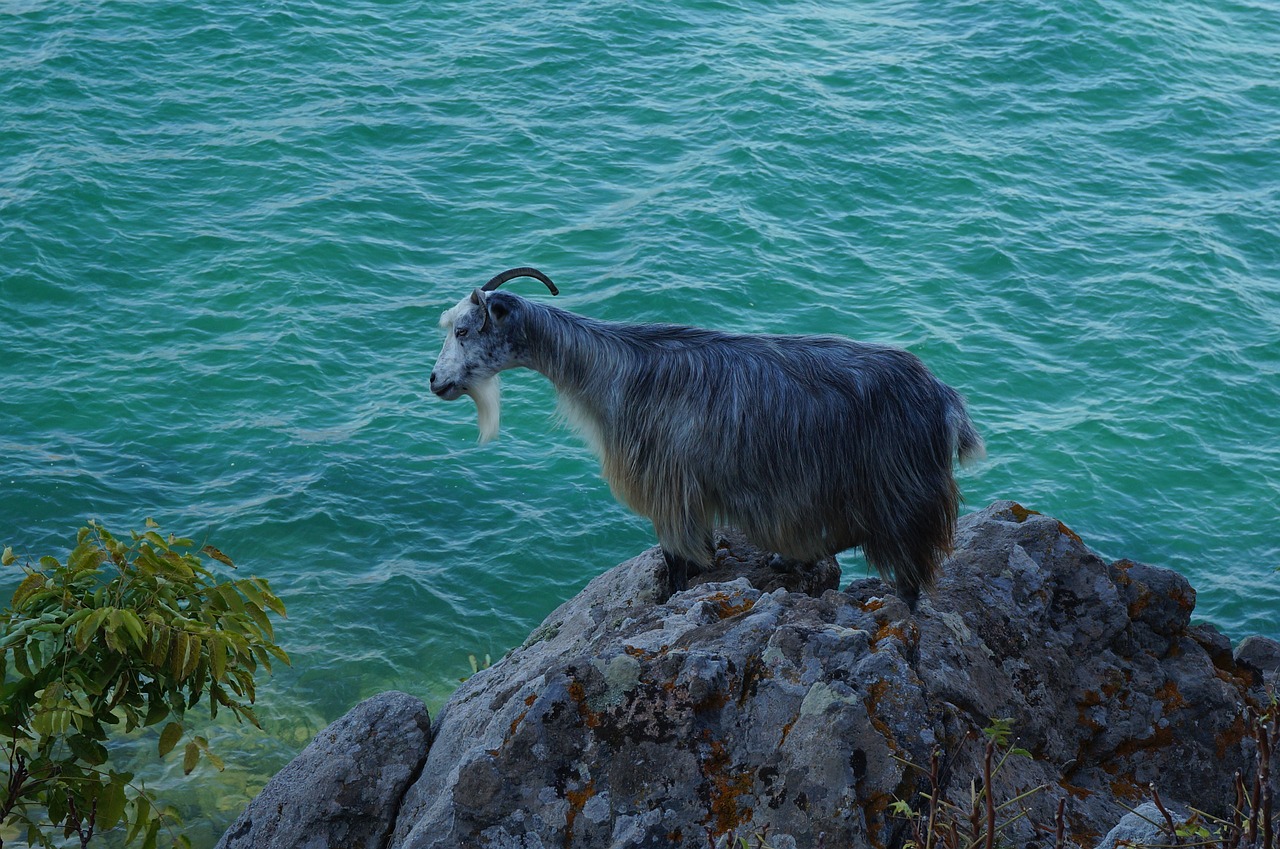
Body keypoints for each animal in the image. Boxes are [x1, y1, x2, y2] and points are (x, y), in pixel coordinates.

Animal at [424, 266, 983, 604]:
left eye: (464, 331)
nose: (435, 381)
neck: (612, 370)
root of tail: (947, 402)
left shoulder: (668, 489)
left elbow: (676, 558)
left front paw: (671, 599)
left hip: (899, 494)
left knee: (907, 569)